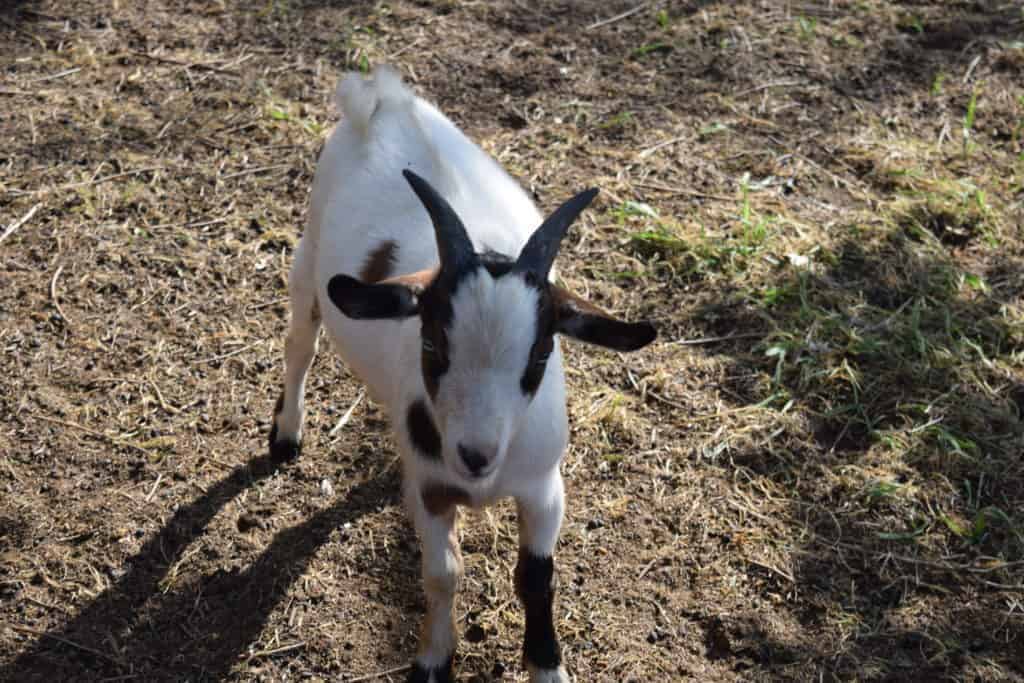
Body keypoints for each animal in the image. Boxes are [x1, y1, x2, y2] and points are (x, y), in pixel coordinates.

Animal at [269, 66, 656, 683]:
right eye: (431, 342)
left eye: (540, 356)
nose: (475, 455)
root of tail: (383, 99)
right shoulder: (430, 492)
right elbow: (443, 572)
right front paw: (433, 659)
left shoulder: (545, 487)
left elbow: (536, 577)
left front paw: (547, 666)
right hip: (308, 260)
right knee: (300, 346)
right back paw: (286, 434)